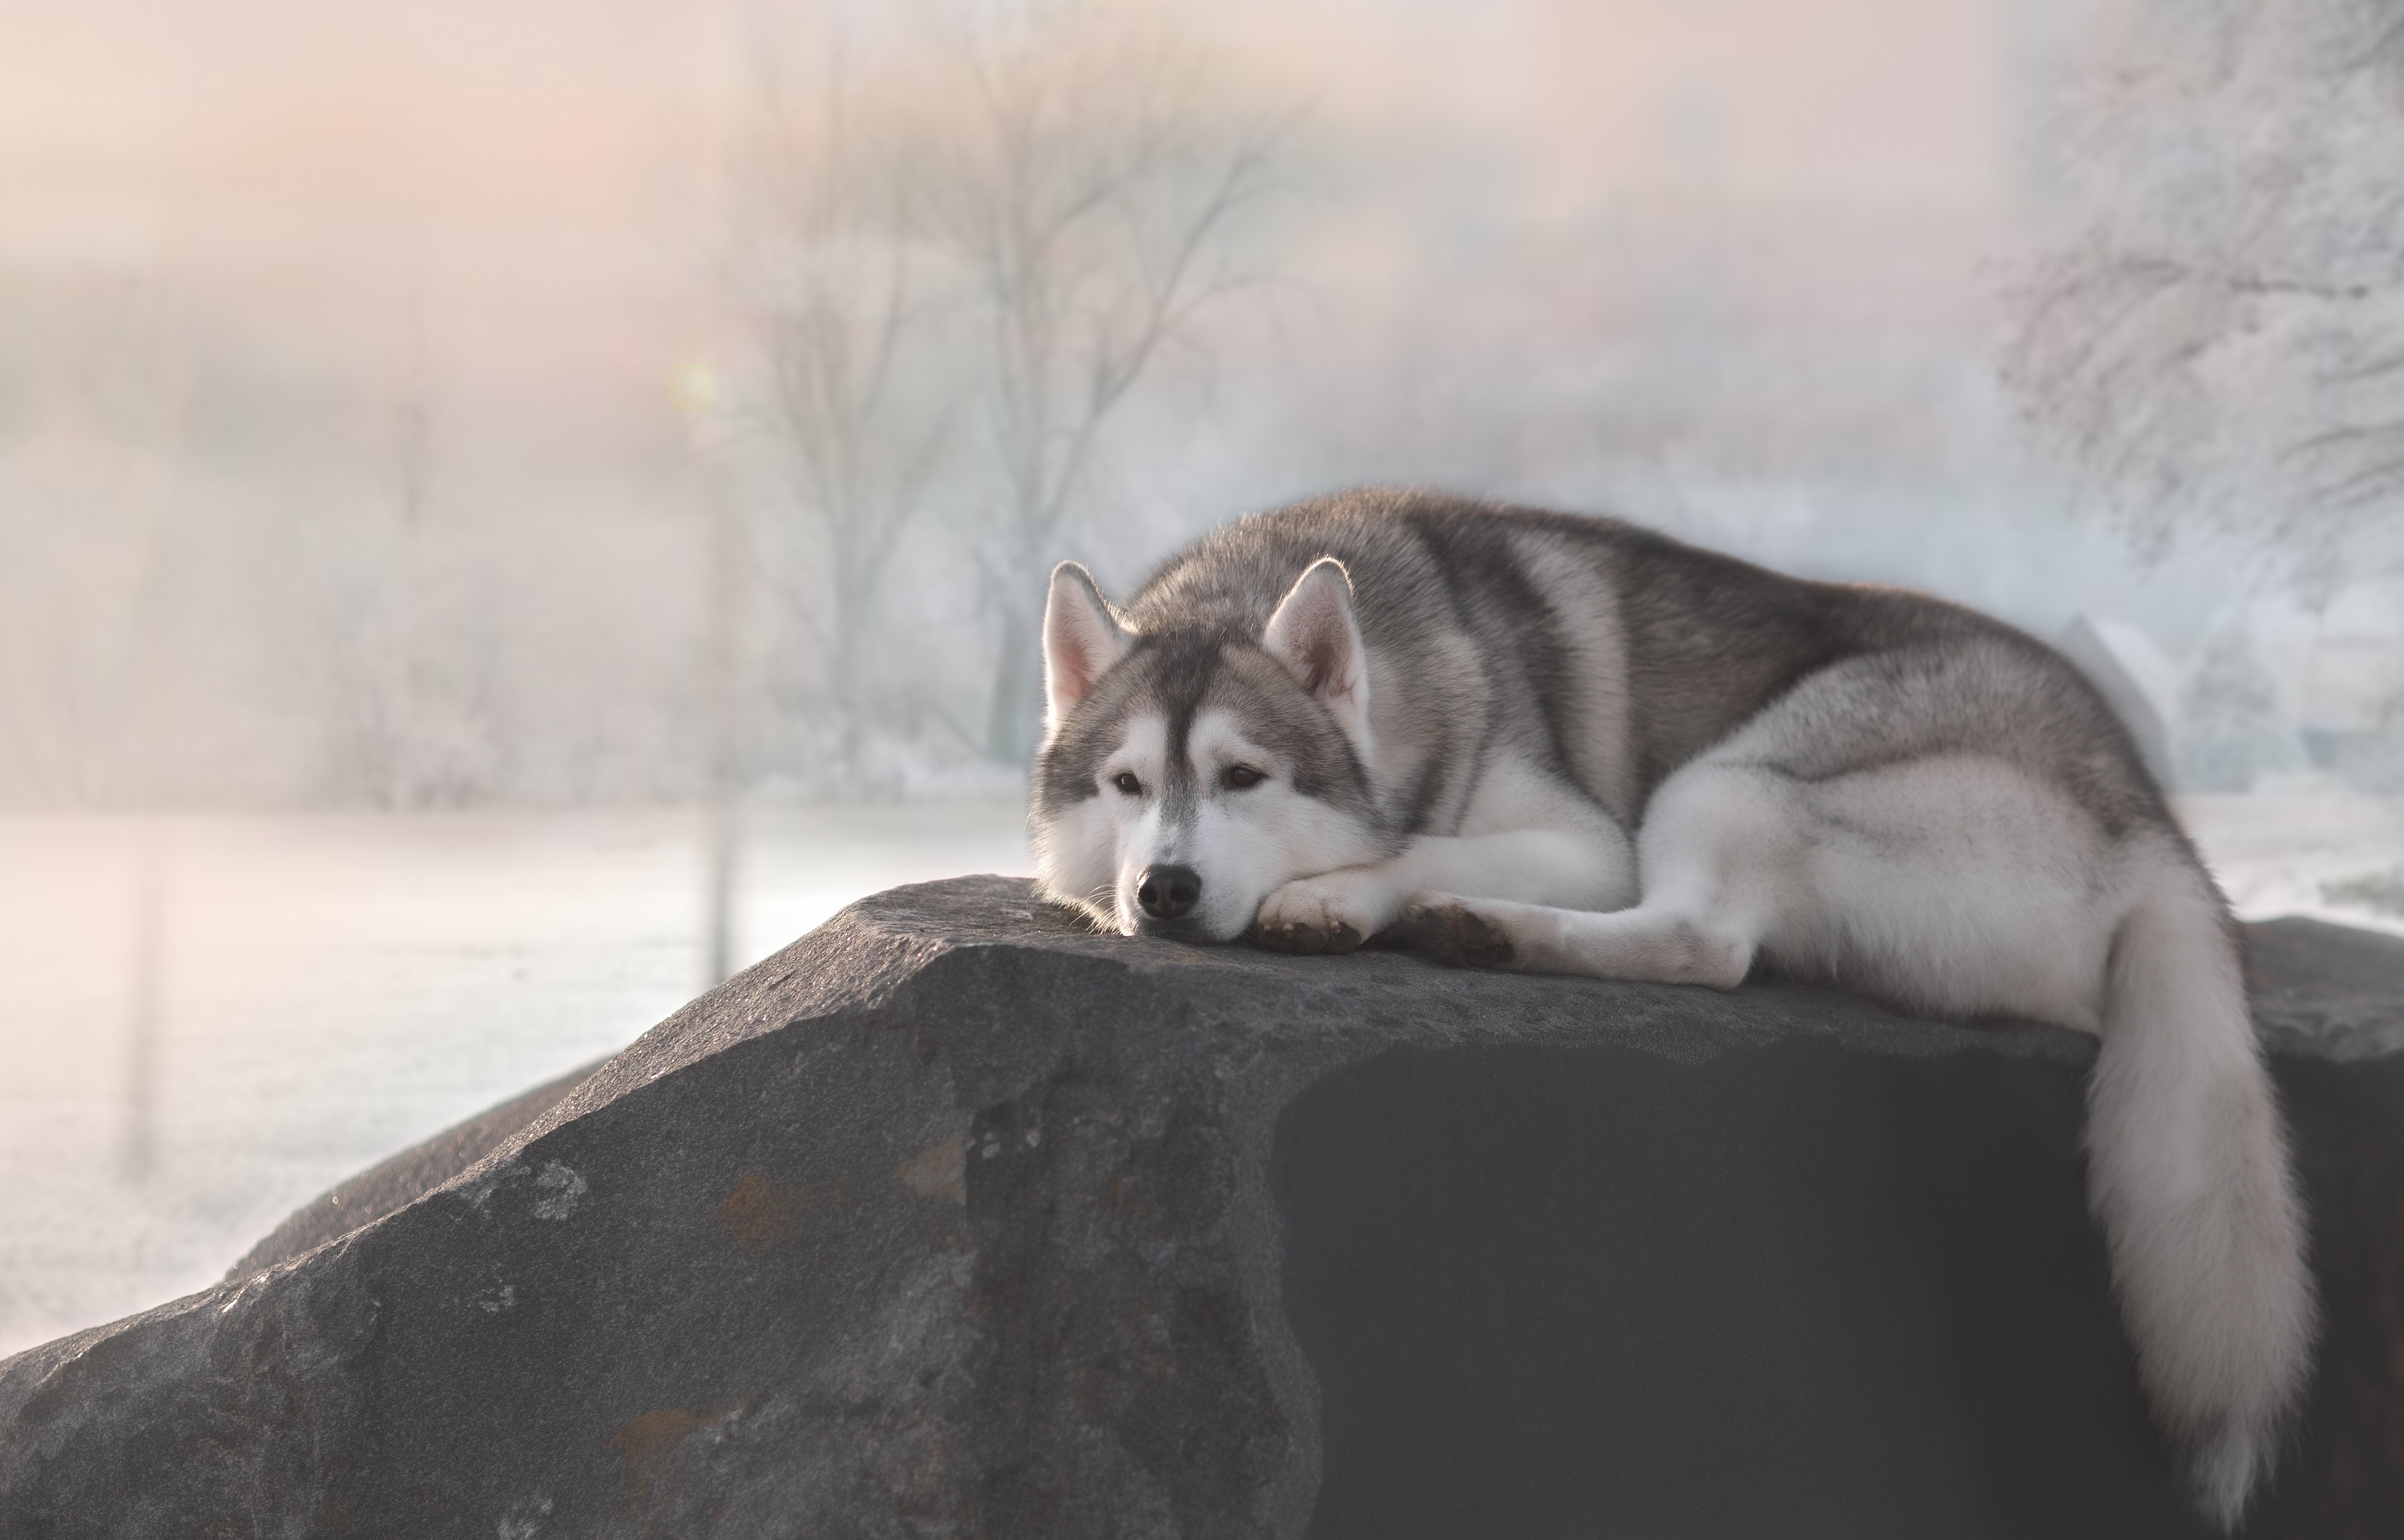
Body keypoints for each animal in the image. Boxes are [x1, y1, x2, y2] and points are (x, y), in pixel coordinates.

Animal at [1029, 485, 2308, 1518]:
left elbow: (1415, 849)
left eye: (1244, 776)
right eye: (1127, 784)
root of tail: (2153, 823)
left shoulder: (1590, 843)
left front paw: (1340, 891)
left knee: (1706, 941)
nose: (1165, 888)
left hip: (1732, 776)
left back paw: (1493, 929)